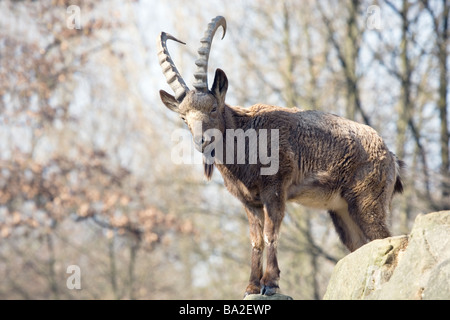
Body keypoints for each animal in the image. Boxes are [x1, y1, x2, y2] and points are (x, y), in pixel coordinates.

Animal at [156, 16, 402, 298]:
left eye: (214, 107)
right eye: (183, 117)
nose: (201, 141)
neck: (246, 140)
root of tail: (391, 158)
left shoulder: (275, 189)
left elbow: (270, 233)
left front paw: (271, 284)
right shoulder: (249, 201)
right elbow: (255, 240)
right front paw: (251, 285)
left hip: (367, 200)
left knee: (384, 237)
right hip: (342, 211)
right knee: (361, 244)